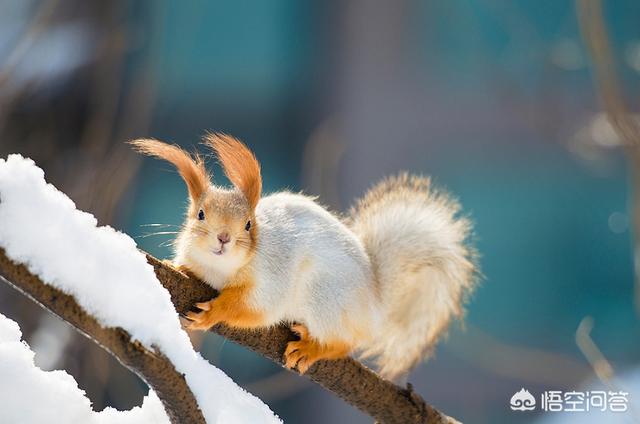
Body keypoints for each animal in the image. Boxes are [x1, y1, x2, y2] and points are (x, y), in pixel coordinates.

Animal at [130, 134, 478, 380]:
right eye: (200, 215)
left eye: (248, 224)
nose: (224, 238)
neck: (221, 269)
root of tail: (376, 302)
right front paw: (178, 266)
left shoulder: (271, 279)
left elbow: (255, 308)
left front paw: (215, 311)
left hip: (324, 297)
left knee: (344, 342)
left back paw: (311, 348)